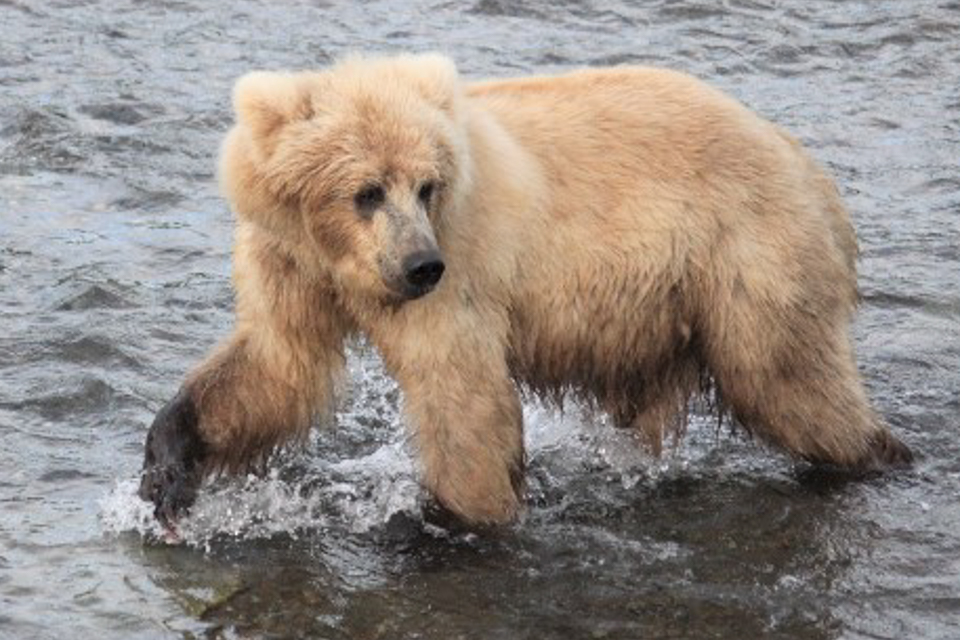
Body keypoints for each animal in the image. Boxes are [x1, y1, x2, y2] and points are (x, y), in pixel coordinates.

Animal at [139, 53, 913, 528]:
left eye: (427, 185)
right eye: (367, 190)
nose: (420, 266)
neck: (341, 261)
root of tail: (808, 166)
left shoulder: (462, 269)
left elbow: (462, 399)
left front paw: (447, 521)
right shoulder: (290, 263)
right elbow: (277, 366)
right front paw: (166, 474)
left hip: (749, 256)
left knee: (790, 381)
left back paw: (877, 456)